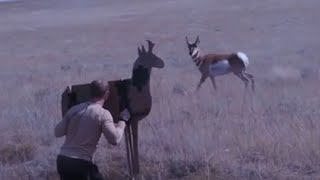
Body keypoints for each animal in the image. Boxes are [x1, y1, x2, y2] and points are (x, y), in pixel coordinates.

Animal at [60, 40, 165, 179]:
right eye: (152, 56)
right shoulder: (135, 119)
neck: (138, 85)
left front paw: (132, 173)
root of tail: (66, 92)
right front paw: (137, 173)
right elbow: (134, 144)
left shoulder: (128, 122)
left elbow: (128, 145)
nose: (162, 63)